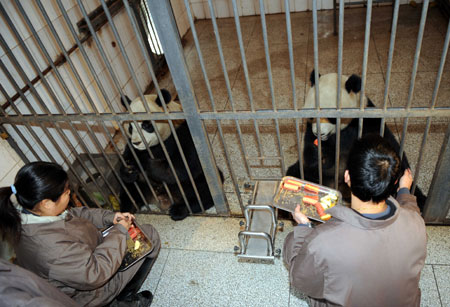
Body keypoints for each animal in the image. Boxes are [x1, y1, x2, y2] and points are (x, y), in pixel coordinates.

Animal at [286, 71, 428, 213]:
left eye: (331, 117)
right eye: (312, 116)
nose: (319, 133)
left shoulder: (367, 121)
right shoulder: (311, 132)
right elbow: (313, 157)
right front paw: (318, 153)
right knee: (297, 172)